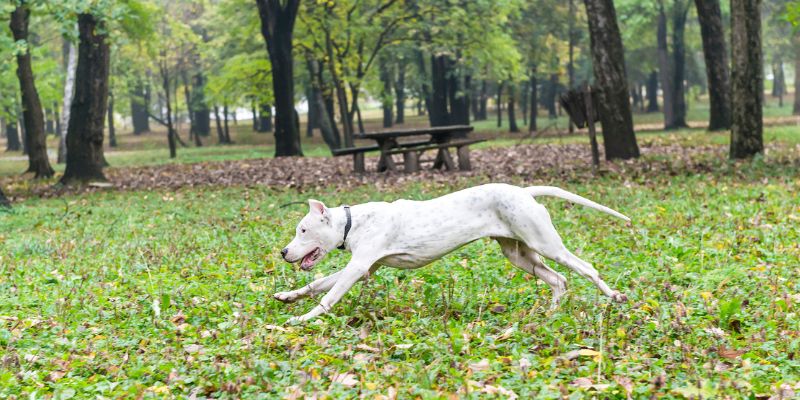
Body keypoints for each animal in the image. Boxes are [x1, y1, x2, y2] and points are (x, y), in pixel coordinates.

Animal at [276, 183, 632, 324]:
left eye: (302, 230)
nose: (283, 252)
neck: (352, 223)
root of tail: (524, 191)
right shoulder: (366, 268)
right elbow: (317, 284)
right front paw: (287, 297)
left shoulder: (357, 267)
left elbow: (328, 297)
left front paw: (302, 319)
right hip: (520, 255)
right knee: (558, 280)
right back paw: (548, 314)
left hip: (546, 244)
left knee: (585, 268)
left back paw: (614, 296)